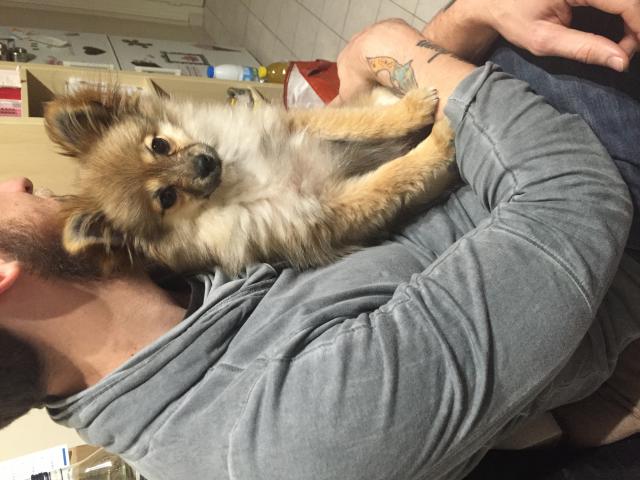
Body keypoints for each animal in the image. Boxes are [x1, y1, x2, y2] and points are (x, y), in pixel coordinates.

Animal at [44, 84, 457, 275]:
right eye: (166, 197)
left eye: (159, 145)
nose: (206, 163)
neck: (242, 175)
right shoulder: (323, 207)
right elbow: (393, 177)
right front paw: (440, 141)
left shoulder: (297, 126)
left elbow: (362, 123)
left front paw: (414, 110)